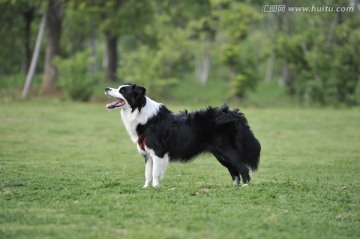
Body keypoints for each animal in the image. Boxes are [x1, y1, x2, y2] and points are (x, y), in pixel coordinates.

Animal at [105, 83, 260, 188]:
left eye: (122, 90)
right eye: (118, 87)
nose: (106, 88)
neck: (143, 115)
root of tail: (233, 113)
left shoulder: (158, 151)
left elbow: (155, 172)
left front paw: (155, 187)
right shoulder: (148, 154)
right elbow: (147, 173)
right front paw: (146, 188)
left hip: (228, 150)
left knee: (243, 168)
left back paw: (245, 186)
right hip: (221, 154)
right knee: (234, 170)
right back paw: (235, 187)